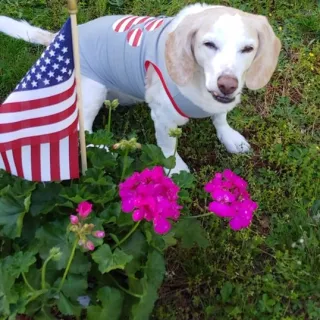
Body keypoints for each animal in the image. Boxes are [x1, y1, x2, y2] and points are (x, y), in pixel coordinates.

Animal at [0, 3, 280, 174]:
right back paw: (105, 150)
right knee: (85, 131)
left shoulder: (221, 104)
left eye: (248, 49)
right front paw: (174, 169)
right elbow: (167, 147)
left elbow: (221, 117)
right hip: (92, 89)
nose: (228, 84)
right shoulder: (164, 118)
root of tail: (60, 38)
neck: (199, 81)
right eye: (209, 44)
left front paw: (229, 137)